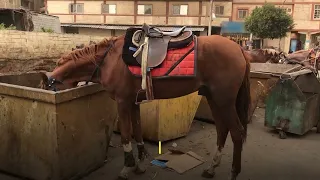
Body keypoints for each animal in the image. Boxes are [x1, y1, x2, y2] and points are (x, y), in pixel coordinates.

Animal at [45, 30, 250, 179]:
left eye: (50, 87)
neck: (109, 60)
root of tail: (239, 49)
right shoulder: (133, 102)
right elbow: (137, 131)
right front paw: (139, 165)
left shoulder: (122, 102)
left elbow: (126, 135)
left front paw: (127, 167)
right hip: (214, 98)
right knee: (222, 130)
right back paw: (211, 168)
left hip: (224, 100)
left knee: (237, 133)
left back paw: (234, 172)